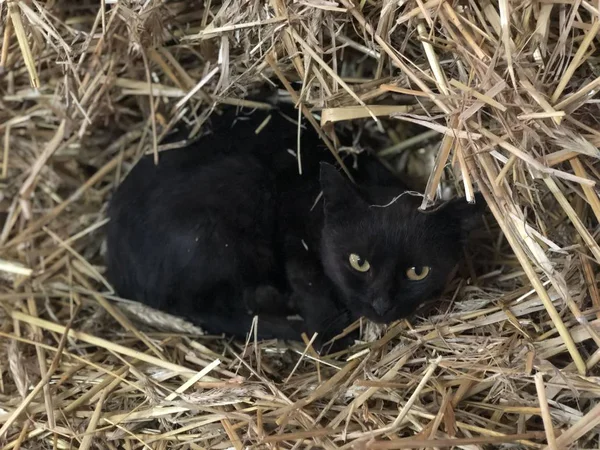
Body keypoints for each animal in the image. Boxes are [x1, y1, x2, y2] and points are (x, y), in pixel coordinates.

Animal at [105, 103, 486, 348]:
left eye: (417, 272)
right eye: (358, 262)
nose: (380, 305)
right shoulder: (293, 232)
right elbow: (312, 289)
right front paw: (330, 331)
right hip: (243, 179)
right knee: (206, 307)